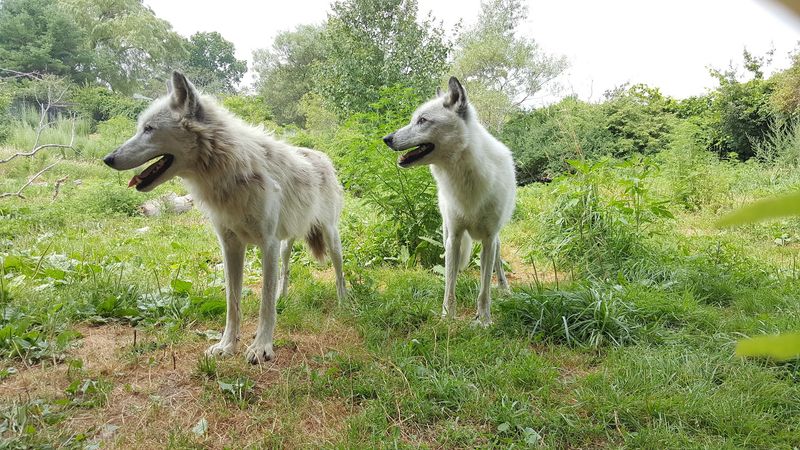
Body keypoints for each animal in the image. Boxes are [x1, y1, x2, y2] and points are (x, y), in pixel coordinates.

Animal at [103, 71, 347, 364]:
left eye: (148, 129)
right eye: (141, 127)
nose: (107, 158)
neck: (228, 168)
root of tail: (323, 156)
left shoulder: (267, 244)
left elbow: (264, 304)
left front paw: (261, 347)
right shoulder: (231, 246)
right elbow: (233, 302)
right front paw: (226, 345)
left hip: (329, 237)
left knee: (339, 272)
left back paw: (345, 302)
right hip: (286, 243)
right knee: (286, 271)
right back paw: (283, 298)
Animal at [382, 77, 516, 325]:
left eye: (422, 120)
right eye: (413, 119)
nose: (387, 139)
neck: (463, 177)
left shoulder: (488, 239)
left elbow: (484, 290)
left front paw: (484, 320)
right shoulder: (454, 237)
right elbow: (449, 286)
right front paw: (447, 318)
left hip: (495, 239)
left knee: (498, 263)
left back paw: (505, 289)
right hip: (446, 232)